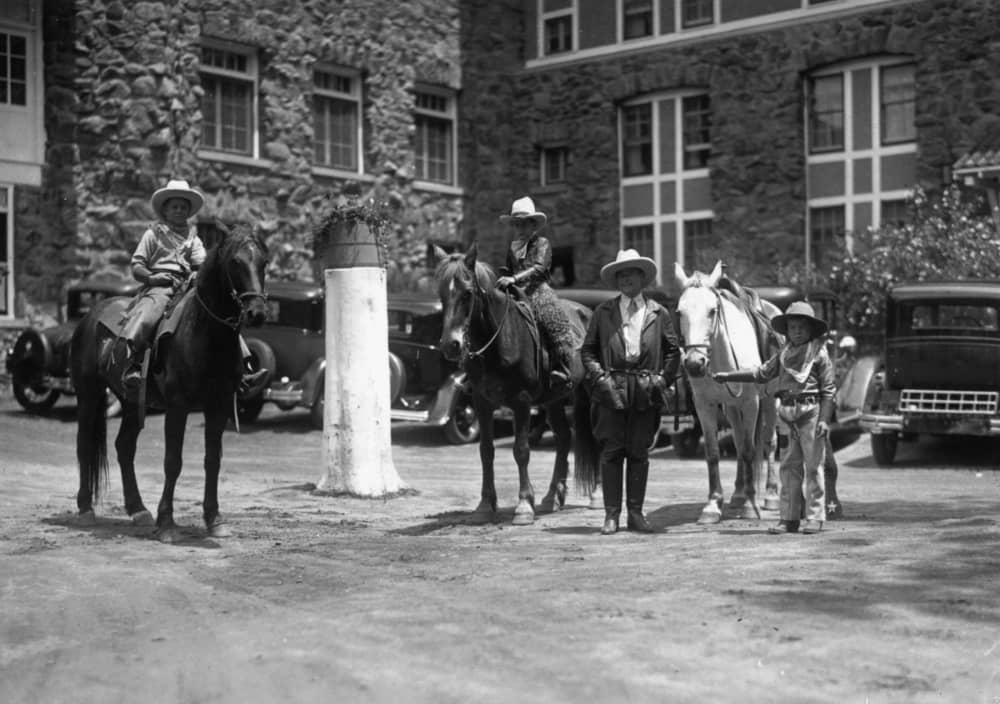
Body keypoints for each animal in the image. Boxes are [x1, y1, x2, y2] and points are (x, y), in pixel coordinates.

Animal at [69, 223, 270, 540]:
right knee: (84, 445)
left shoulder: (218, 406)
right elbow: (173, 461)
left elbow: (212, 461)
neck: (204, 334)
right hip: (88, 395)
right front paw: (166, 522)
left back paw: (139, 510)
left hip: (130, 402)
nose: (257, 312)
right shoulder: (178, 406)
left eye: (263, 262)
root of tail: (90, 315)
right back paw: (86, 509)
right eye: (235, 262)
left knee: (124, 447)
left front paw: (214, 519)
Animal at [432, 245, 592, 524]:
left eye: (467, 293)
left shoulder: (522, 401)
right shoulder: (482, 402)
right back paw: (553, 496)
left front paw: (524, 505)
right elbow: (486, 450)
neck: (499, 341)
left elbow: (521, 450)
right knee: (563, 438)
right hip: (554, 400)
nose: (451, 345)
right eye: (442, 295)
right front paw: (485, 505)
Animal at [672, 262, 780, 524]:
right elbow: (714, 453)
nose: (694, 363)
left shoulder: (751, 403)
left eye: (712, 311)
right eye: (680, 312)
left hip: (770, 402)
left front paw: (751, 506)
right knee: (739, 442)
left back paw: (770, 495)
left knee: (769, 441)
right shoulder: (705, 405)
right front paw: (713, 505)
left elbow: (751, 451)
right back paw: (739, 494)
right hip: (731, 408)